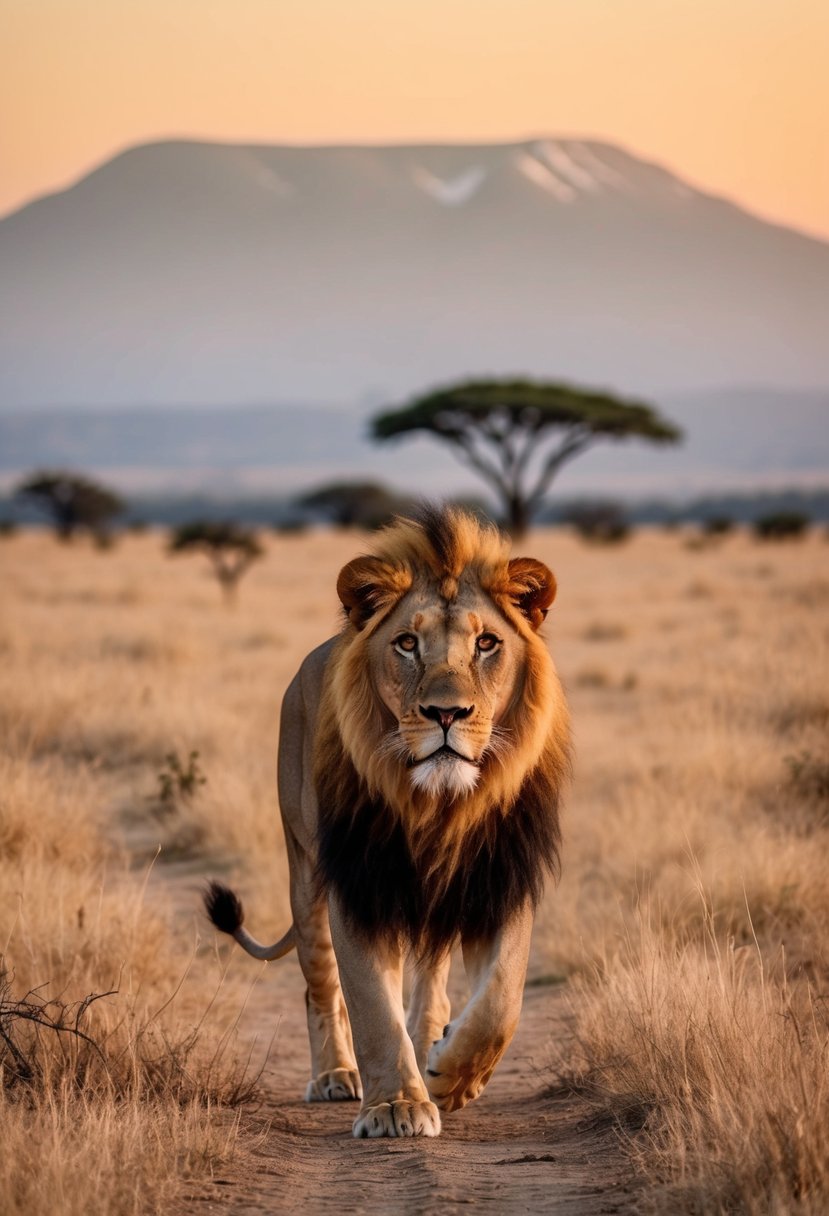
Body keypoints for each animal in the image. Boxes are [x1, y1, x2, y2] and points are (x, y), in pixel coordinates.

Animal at [205, 505, 570, 1138]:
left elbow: (502, 999)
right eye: (406, 644)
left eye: (487, 643)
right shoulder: (361, 884)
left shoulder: (499, 876)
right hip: (306, 877)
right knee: (320, 985)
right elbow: (372, 1005)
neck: (439, 806)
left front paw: (451, 1076)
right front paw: (397, 1105)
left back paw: (430, 1049)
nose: (447, 713)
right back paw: (336, 1076)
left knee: (432, 982)